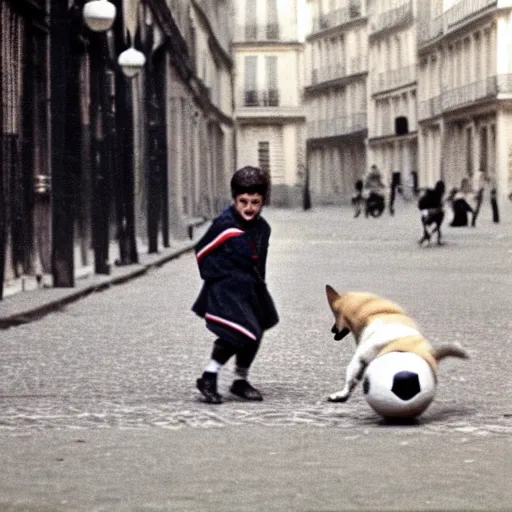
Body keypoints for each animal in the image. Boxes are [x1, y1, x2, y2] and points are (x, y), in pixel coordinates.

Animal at [326, 286, 470, 402]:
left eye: (335, 316)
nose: (332, 330)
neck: (376, 313)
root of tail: (431, 352)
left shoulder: (360, 358)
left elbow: (351, 379)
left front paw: (342, 393)